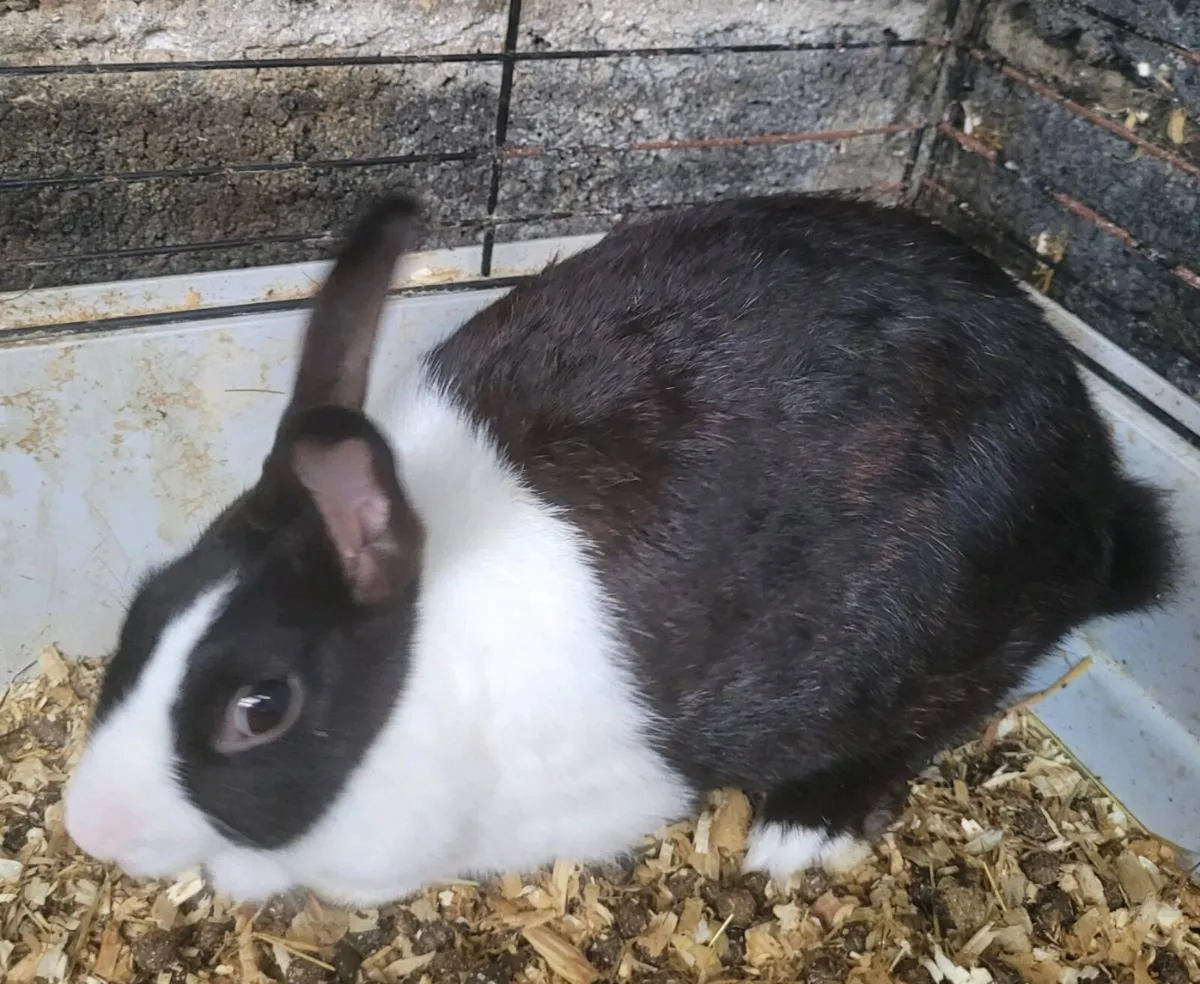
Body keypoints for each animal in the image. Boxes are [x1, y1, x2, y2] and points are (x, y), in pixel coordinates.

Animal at [63, 191, 1177, 907]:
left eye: (262, 710)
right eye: (140, 612)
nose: (88, 828)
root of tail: (1092, 476)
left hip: (947, 630)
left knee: (941, 708)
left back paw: (801, 827)